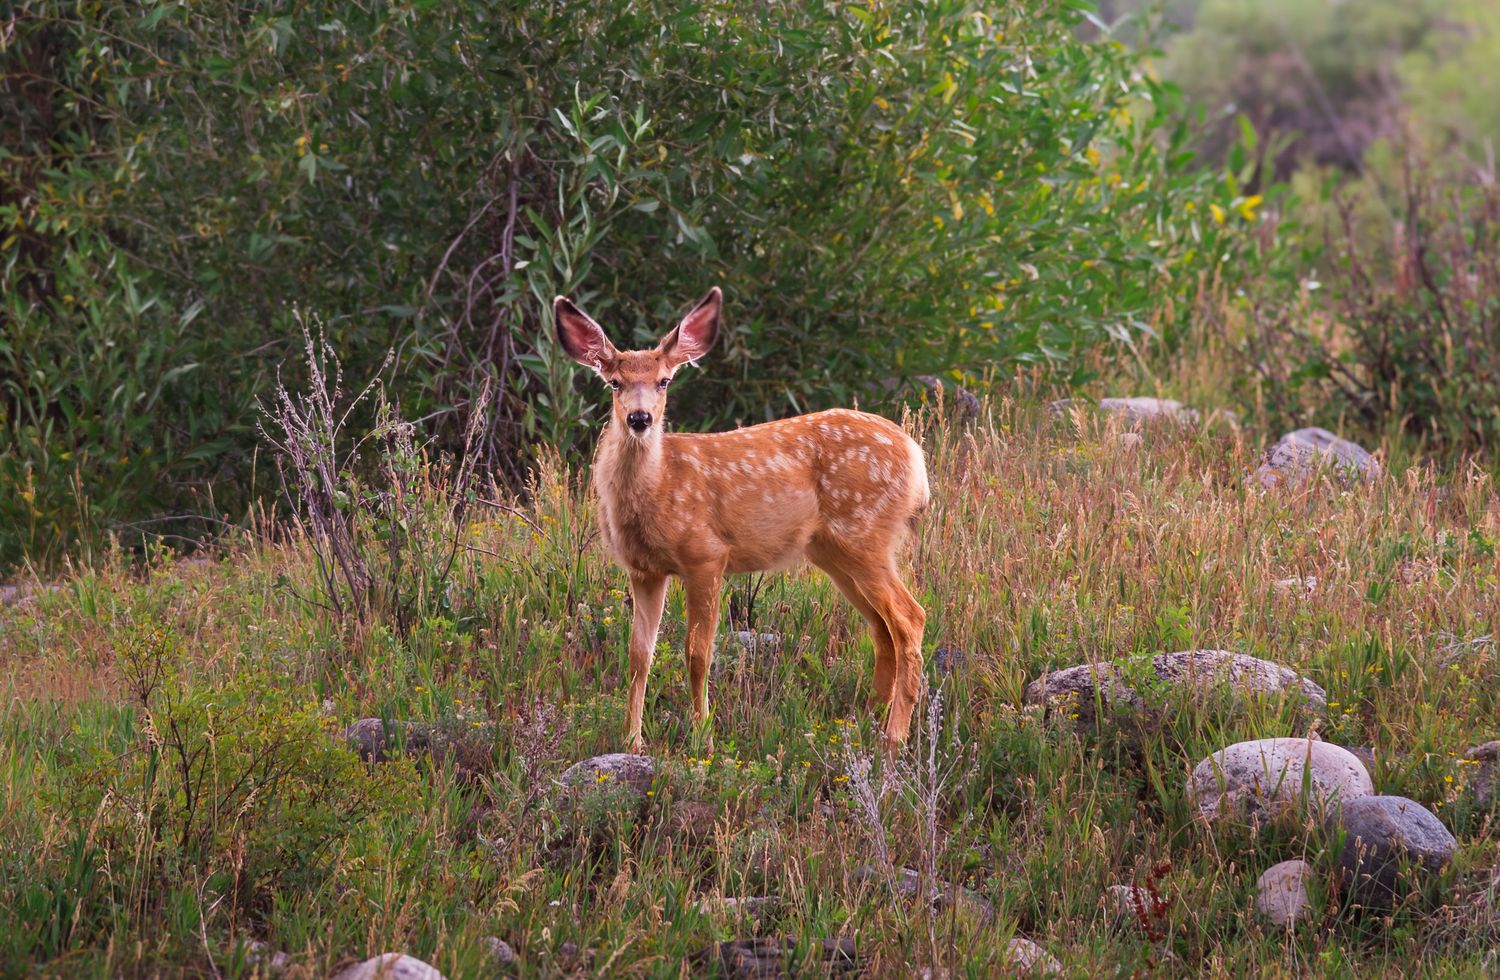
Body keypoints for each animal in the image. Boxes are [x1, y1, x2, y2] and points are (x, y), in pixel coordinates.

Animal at [553, 287, 929, 754]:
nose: (640, 419)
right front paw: (632, 741)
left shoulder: (706, 555)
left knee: (910, 618)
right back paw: (868, 721)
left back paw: (894, 738)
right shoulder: (644, 571)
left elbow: (697, 653)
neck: (660, 486)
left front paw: (703, 738)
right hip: (834, 551)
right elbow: (639, 654)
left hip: (864, 533)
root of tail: (916, 458)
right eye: (614, 383)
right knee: (882, 628)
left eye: (664, 381)